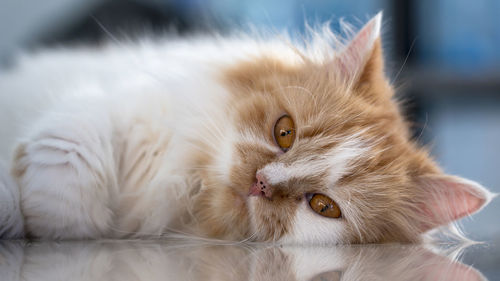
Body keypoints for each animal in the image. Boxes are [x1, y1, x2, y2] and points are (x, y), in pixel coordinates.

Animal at [0, 12, 494, 242]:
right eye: (284, 132)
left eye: (323, 206)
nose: (261, 183)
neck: (189, 188)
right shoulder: (123, 108)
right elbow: (69, 152)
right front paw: (41, 212)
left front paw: (50, 221)